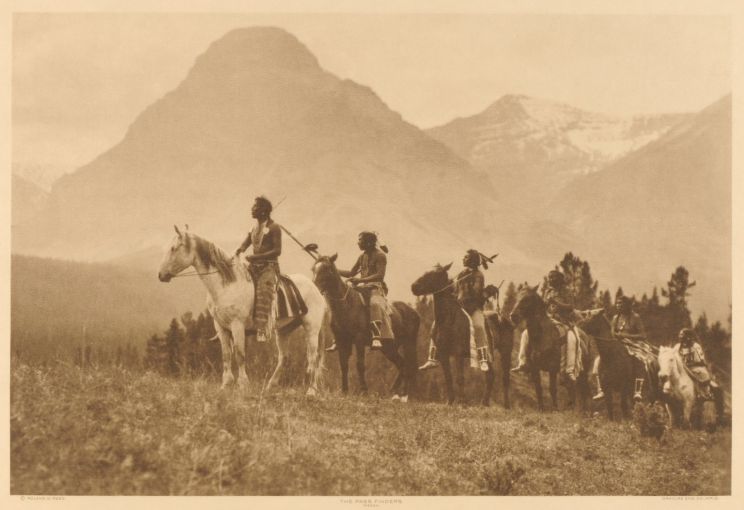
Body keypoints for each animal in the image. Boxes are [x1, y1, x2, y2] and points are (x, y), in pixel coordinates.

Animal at [158, 226, 327, 395]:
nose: (161, 275)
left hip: (312, 328)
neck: (226, 285)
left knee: (313, 358)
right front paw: (226, 384)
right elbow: (226, 355)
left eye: (174, 248)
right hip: (284, 330)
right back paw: (271, 385)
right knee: (284, 357)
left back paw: (311, 391)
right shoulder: (220, 326)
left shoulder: (237, 325)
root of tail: (316, 289)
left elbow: (240, 354)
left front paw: (243, 384)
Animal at [311, 254, 420, 400]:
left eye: (327, 269)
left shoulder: (359, 340)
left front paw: (363, 390)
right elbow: (343, 365)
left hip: (408, 344)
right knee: (402, 365)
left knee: (408, 366)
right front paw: (344, 390)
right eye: (314, 269)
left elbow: (360, 365)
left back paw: (404, 394)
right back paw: (395, 392)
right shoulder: (342, 340)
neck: (347, 304)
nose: (314, 287)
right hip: (389, 347)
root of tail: (413, 312)